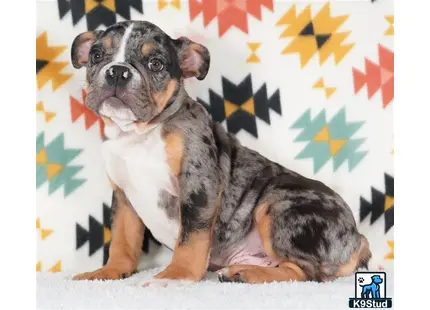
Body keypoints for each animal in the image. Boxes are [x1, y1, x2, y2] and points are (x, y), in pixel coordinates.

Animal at [69, 20, 372, 284]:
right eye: (96, 55)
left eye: (155, 63)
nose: (117, 71)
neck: (139, 134)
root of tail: (357, 240)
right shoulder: (123, 197)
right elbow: (122, 241)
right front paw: (109, 271)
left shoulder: (198, 184)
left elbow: (191, 237)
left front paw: (175, 276)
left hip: (278, 205)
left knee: (305, 271)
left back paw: (246, 274)